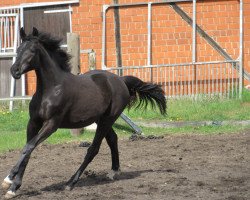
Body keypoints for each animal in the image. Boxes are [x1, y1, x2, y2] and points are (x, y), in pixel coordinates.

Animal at [1, 27, 166, 198]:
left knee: (93, 149)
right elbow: (27, 149)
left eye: (32, 51)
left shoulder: (52, 124)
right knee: (112, 139)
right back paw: (114, 171)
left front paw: (8, 181)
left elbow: (28, 147)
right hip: (101, 119)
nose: (14, 71)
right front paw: (12, 187)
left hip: (108, 119)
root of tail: (121, 81)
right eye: (18, 50)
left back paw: (71, 182)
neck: (51, 89)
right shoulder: (33, 122)